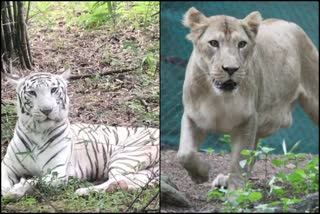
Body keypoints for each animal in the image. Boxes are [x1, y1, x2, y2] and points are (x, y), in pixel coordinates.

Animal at [0, 71, 159, 200]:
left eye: (53, 90)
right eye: (32, 92)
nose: (47, 110)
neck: (37, 132)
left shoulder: (57, 172)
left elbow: (35, 180)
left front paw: (17, 189)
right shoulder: (7, 165)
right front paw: (8, 190)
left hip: (126, 154)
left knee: (117, 178)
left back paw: (83, 191)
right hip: (146, 170)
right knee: (132, 181)